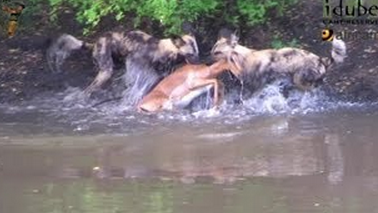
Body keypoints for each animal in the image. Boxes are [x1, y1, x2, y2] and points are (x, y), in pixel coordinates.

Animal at [47, 25, 199, 98]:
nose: (198, 62)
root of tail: (96, 42)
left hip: (113, 67)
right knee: (88, 89)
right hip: (106, 71)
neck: (160, 49)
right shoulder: (138, 68)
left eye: (197, 53)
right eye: (190, 54)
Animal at [211, 28, 346, 95]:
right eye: (213, 51)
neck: (243, 59)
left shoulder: (256, 88)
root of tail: (321, 60)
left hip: (299, 80)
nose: (209, 59)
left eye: (217, 52)